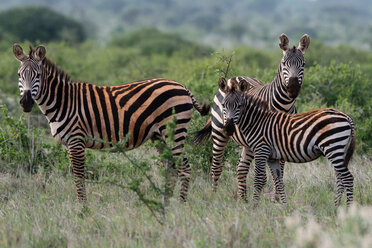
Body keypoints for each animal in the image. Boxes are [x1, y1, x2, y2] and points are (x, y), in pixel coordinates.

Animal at [12, 44, 209, 203]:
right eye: (19, 75)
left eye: (38, 75)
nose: (26, 103)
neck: (64, 102)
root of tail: (183, 87)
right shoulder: (70, 143)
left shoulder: (76, 141)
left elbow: (79, 177)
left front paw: (83, 209)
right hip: (159, 136)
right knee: (172, 169)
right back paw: (165, 203)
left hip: (174, 132)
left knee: (185, 168)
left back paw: (180, 205)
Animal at [193, 33, 310, 200]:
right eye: (284, 63)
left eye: (303, 64)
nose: (293, 88)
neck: (283, 106)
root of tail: (234, 78)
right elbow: (268, 174)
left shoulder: (283, 140)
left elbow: (279, 171)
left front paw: (276, 198)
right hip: (220, 132)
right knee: (216, 166)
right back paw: (214, 196)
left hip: (247, 143)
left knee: (241, 167)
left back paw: (243, 198)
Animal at [219, 79, 356, 205]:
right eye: (223, 105)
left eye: (239, 106)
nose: (229, 128)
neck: (256, 122)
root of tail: (346, 116)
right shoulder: (272, 157)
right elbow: (279, 181)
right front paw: (284, 206)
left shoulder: (261, 151)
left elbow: (258, 179)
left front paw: (254, 206)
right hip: (339, 150)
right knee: (340, 178)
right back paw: (336, 206)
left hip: (333, 147)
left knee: (348, 178)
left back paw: (348, 208)